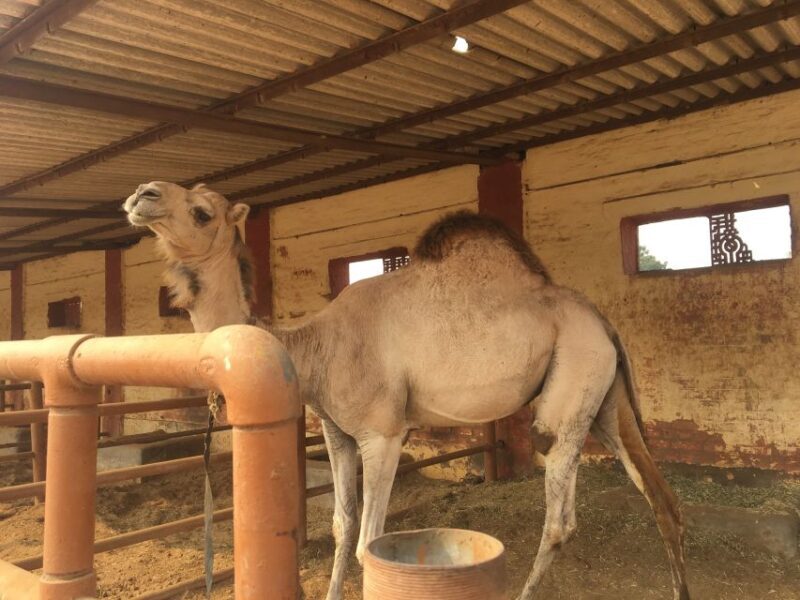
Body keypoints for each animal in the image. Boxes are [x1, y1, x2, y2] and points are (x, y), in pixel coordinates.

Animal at [124, 181, 690, 600]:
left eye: (202, 211)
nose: (141, 194)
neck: (313, 348)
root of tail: (603, 322)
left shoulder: (383, 433)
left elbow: (369, 543)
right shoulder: (336, 433)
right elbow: (341, 526)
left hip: (573, 386)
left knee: (560, 515)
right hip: (606, 398)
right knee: (660, 495)